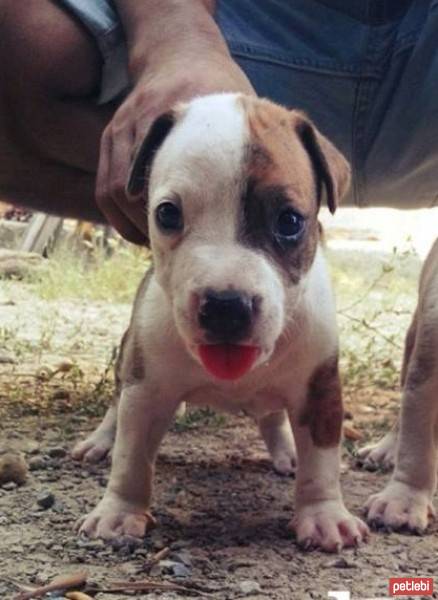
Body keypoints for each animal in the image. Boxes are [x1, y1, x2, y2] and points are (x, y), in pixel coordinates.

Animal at [73, 95, 368, 552]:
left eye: (289, 221)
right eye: (167, 214)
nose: (227, 306)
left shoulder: (319, 389)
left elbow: (321, 461)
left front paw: (323, 516)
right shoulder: (146, 390)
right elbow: (131, 455)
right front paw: (119, 511)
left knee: (272, 416)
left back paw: (287, 451)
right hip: (127, 360)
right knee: (115, 406)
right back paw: (101, 440)